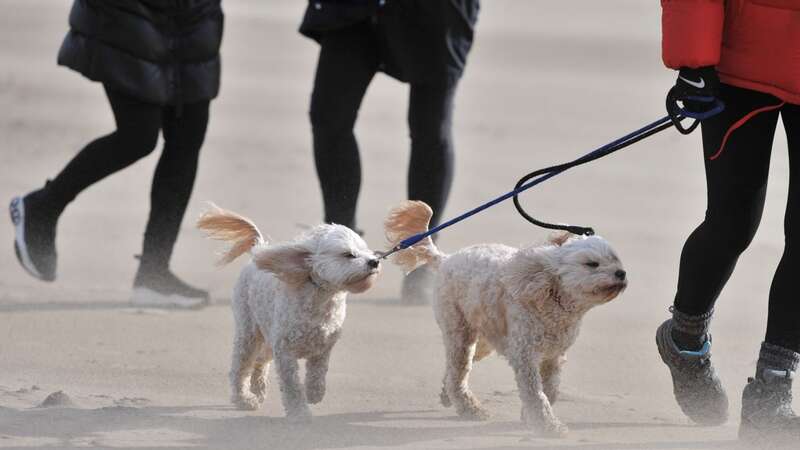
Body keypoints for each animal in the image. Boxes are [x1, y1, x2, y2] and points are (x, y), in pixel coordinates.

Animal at [195, 204, 380, 422]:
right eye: (349, 254)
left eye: (365, 250)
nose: (374, 261)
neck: (319, 297)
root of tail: (258, 250)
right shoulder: (285, 352)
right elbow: (291, 386)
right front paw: (299, 413)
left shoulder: (322, 348)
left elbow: (318, 373)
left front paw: (314, 393)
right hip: (250, 332)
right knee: (240, 367)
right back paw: (244, 398)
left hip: (268, 337)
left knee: (260, 362)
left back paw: (258, 389)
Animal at [384, 200, 628, 436]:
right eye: (592, 264)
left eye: (615, 259)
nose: (621, 273)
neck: (550, 296)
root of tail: (446, 259)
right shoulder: (525, 354)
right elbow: (535, 393)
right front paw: (547, 426)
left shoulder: (554, 356)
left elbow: (550, 389)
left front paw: (530, 416)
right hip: (459, 331)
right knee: (457, 374)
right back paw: (470, 408)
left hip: (483, 339)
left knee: (454, 370)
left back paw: (447, 395)